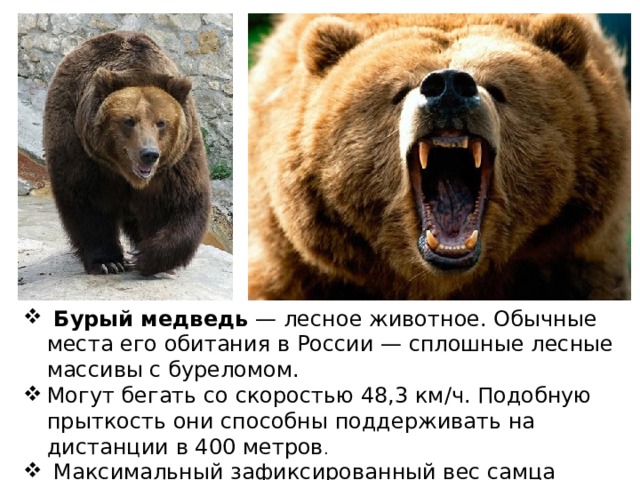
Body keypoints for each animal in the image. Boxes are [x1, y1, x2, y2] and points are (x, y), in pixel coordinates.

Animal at [44, 31, 211, 276]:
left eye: (161, 122)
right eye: (129, 120)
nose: (149, 154)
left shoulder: (177, 161)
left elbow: (181, 203)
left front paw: (148, 257)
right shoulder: (83, 152)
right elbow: (86, 201)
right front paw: (108, 261)